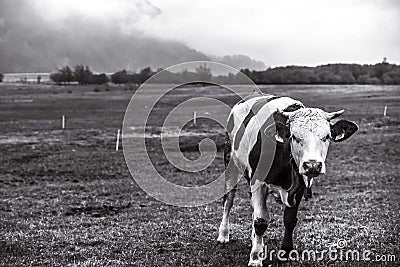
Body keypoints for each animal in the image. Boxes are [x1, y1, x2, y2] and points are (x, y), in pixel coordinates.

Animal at [217, 94, 358, 266]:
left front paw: (285, 252)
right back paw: (224, 235)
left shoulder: (300, 187)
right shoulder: (258, 182)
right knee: (228, 200)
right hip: (231, 164)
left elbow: (289, 220)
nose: (312, 165)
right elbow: (260, 221)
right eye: (294, 137)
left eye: (326, 137)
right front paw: (255, 258)